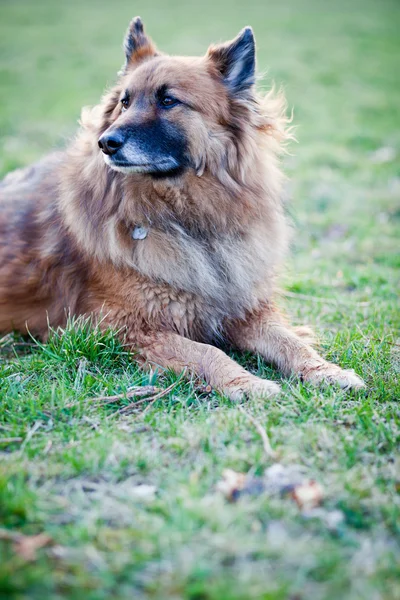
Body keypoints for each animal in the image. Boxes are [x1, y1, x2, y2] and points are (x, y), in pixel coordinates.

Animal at [0, 17, 366, 398]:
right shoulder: (125, 328)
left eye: (168, 100)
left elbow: (291, 342)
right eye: (125, 102)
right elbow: (208, 352)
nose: (105, 143)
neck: (187, 217)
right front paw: (246, 383)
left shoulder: (246, 310)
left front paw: (327, 371)